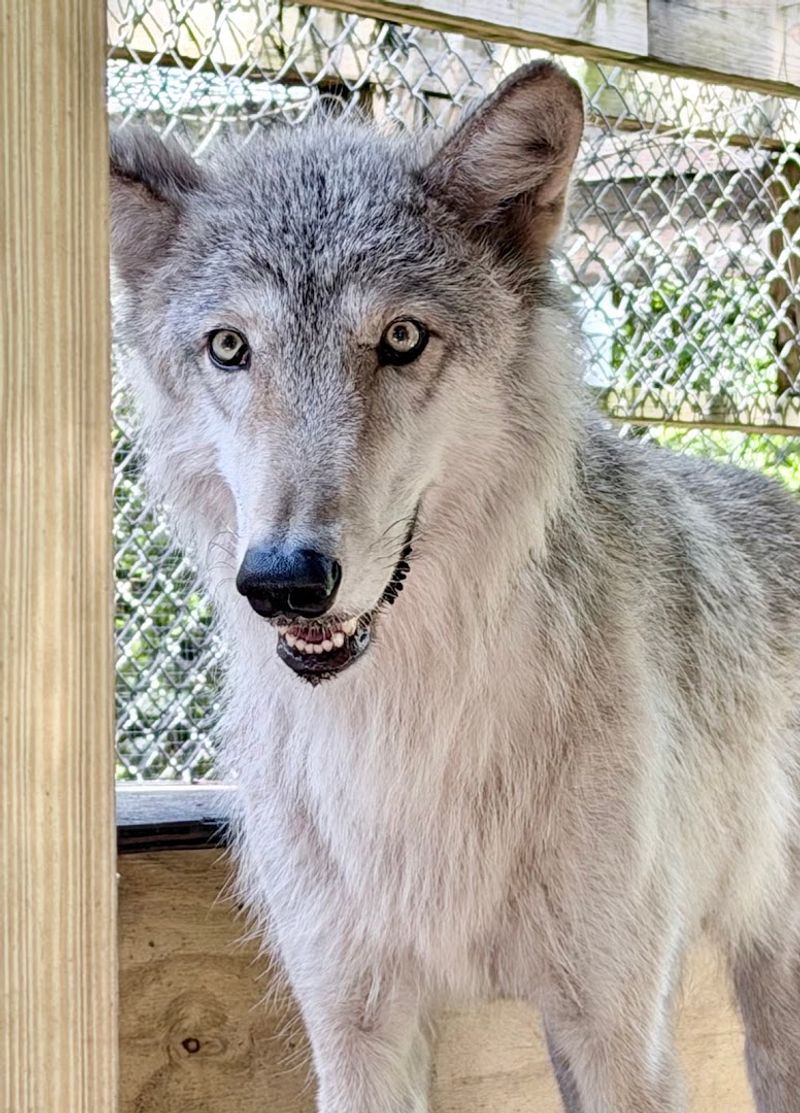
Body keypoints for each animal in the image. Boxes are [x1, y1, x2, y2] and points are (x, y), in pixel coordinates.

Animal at [110, 62, 800, 1112]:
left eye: (401, 336)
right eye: (230, 348)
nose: (284, 580)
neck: (404, 728)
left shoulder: (620, 1033)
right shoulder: (355, 1028)